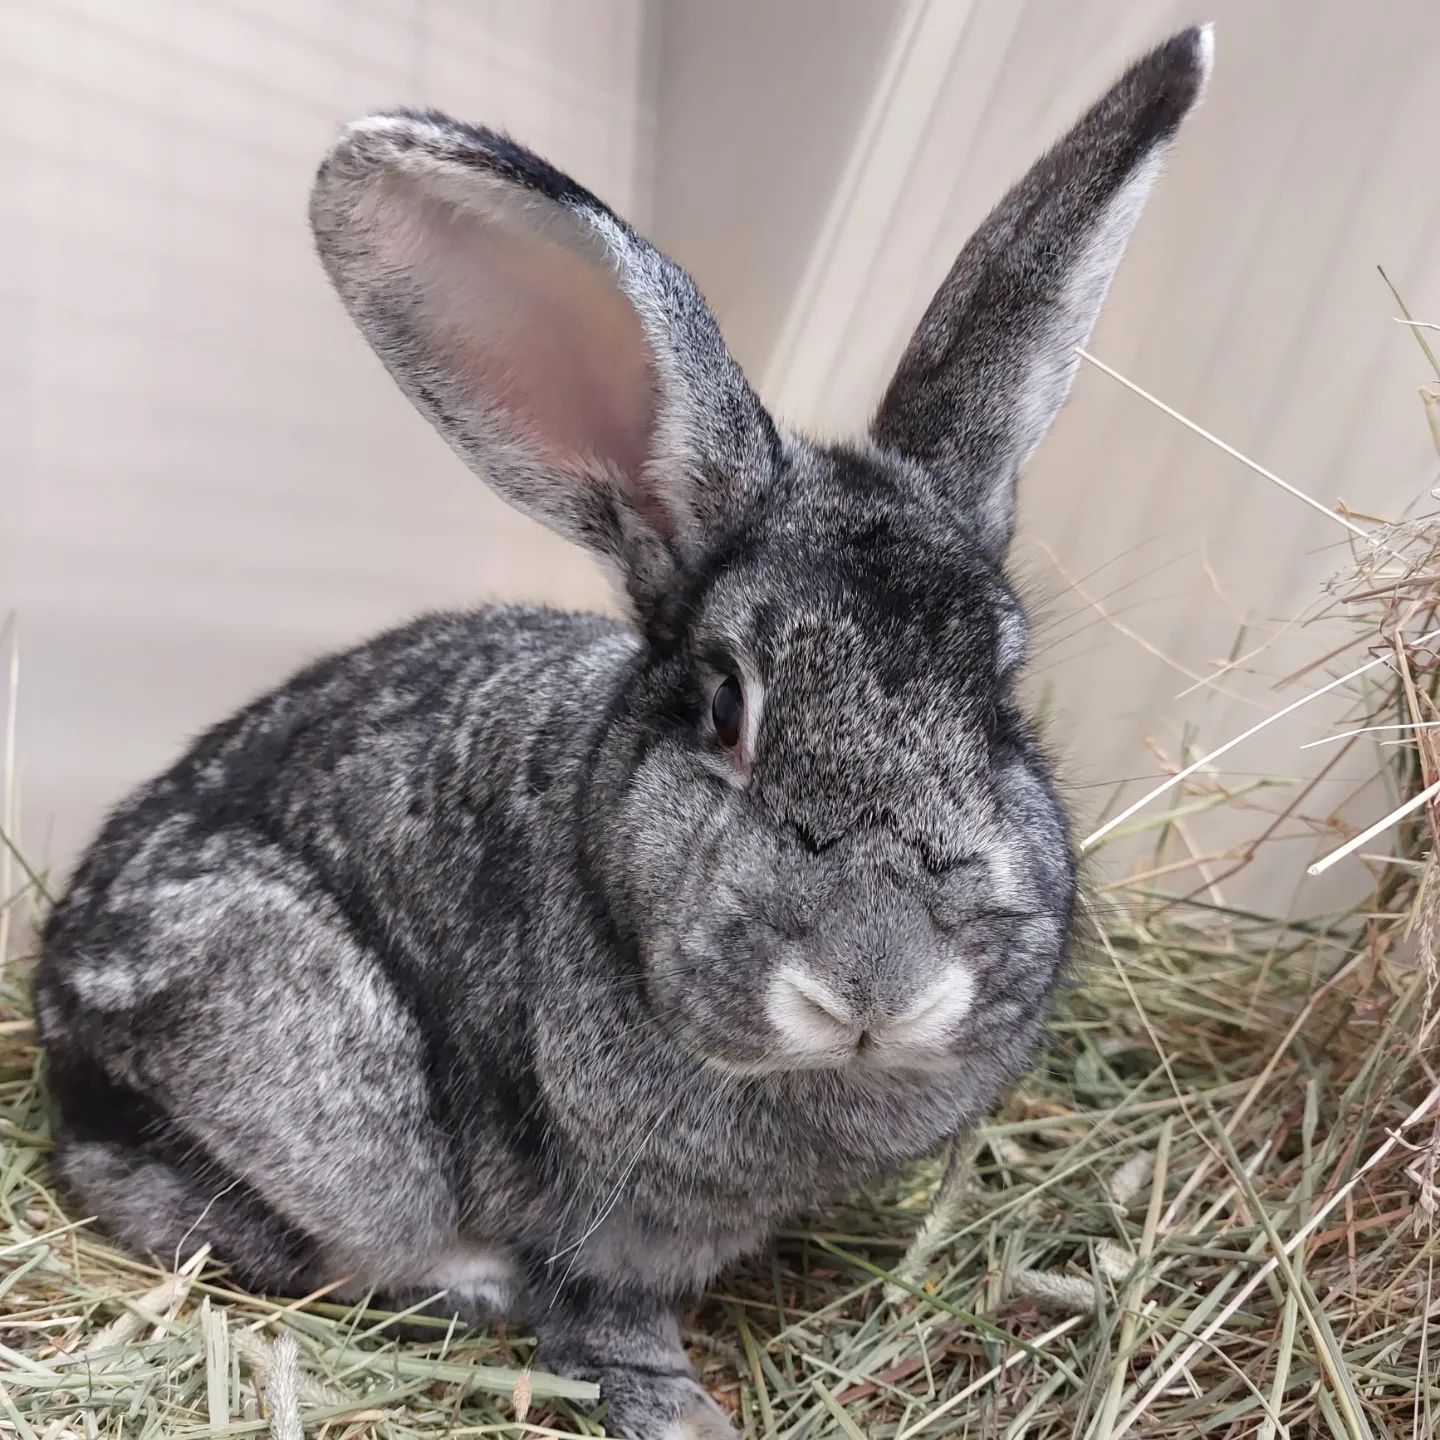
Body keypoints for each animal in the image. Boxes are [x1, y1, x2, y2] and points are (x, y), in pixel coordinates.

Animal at [34, 26, 1210, 1440]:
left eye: (1001, 698)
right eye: (725, 704)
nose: (876, 985)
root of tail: (51, 990)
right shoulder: (597, 1227)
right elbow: (608, 1323)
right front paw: (684, 1413)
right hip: (301, 1079)